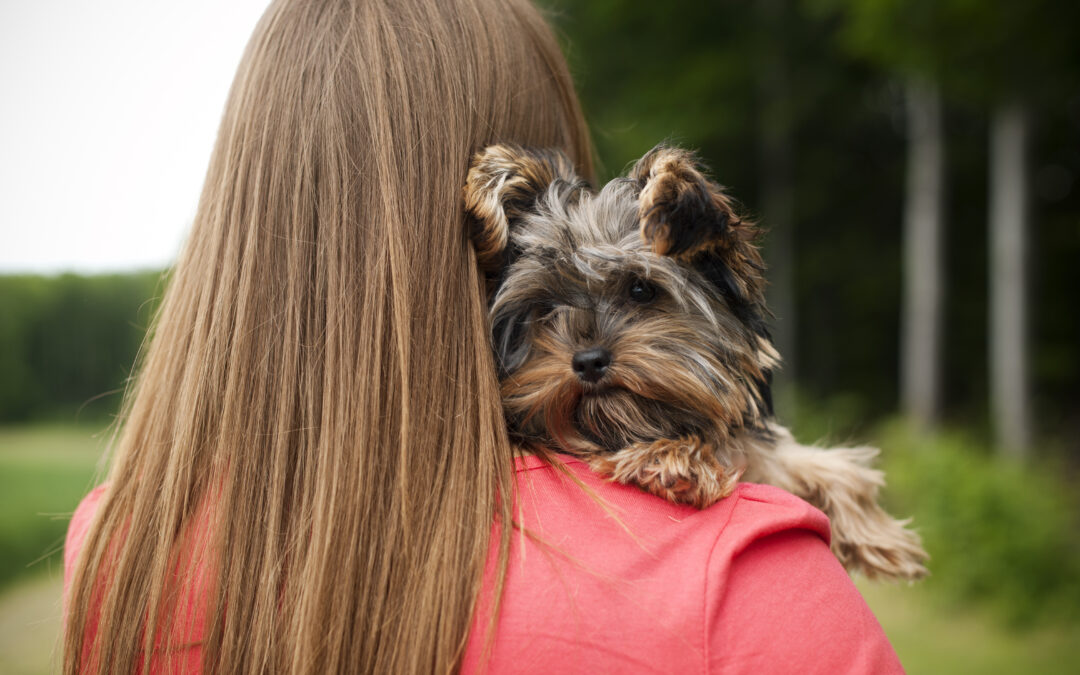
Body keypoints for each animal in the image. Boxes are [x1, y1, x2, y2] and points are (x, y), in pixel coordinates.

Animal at [464, 142, 928, 578]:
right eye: (545, 308)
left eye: (640, 289)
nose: (588, 360)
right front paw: (672, 459)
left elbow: (831, 470)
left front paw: (878, 535)